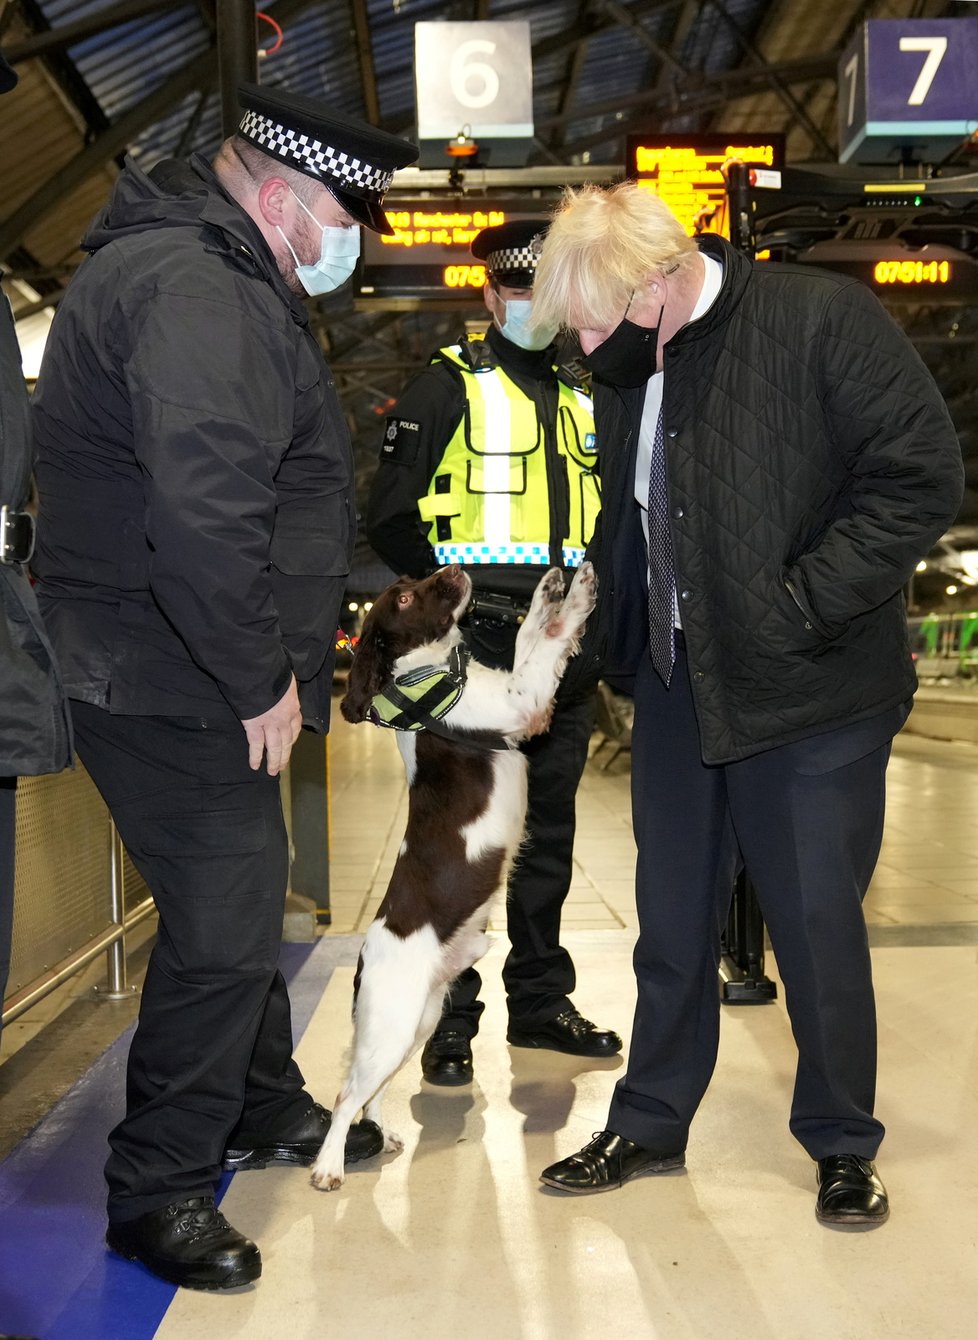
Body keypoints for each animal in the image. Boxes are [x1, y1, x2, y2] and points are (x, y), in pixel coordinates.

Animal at [310, 560, 594, 1189]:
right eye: (406, 596)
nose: (455, 566)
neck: (432, 674)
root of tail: (363, 957)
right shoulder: (520, 702)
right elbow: (542, 640)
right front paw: (567, 593)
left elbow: (532, 635)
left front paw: (561, 587)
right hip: (390, 1025)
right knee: (344, 1096)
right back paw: (328, 1167)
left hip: (417, 1020)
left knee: (370, 1092)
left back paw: (384, 1134)